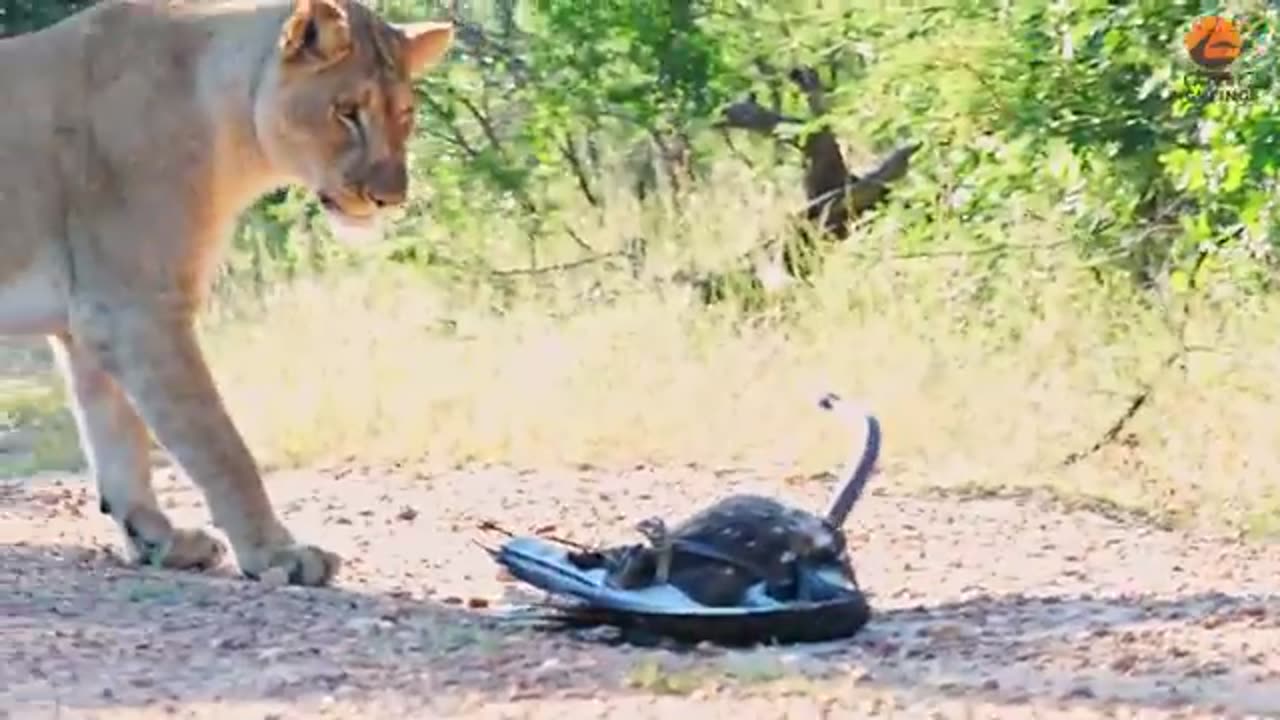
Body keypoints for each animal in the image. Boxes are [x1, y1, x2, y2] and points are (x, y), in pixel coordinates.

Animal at [0, 0, 454, 586]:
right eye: (347, 111)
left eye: (405, 114)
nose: (390, 198)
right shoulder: (136, 311)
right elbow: (217, 443)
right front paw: (276, 553)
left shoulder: (91, 317)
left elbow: (117, 436)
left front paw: (160, 540)